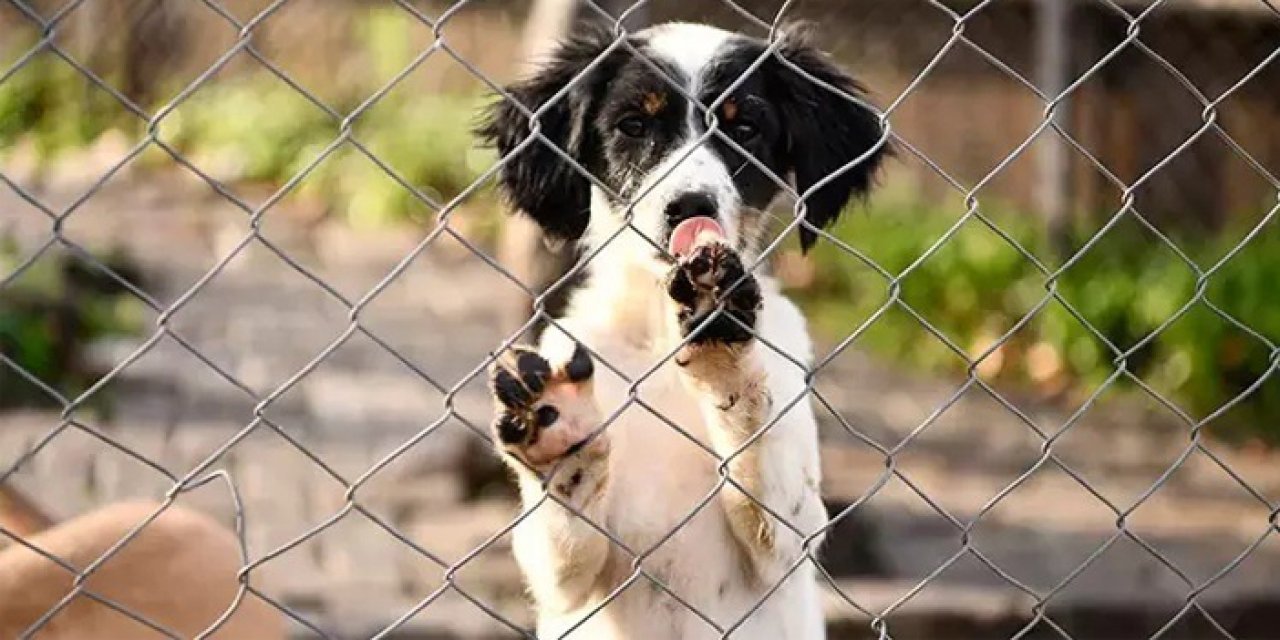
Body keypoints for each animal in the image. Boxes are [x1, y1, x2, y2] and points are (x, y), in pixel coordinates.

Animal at [476, 20, 885, 640]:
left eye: (744, 128)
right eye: (634, 125)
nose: (692, 206)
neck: (658, 336)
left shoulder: (793, 536)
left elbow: (758, 437)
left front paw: (723, 345)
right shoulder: (560, 582)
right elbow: (559, 534)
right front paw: (559, 431)